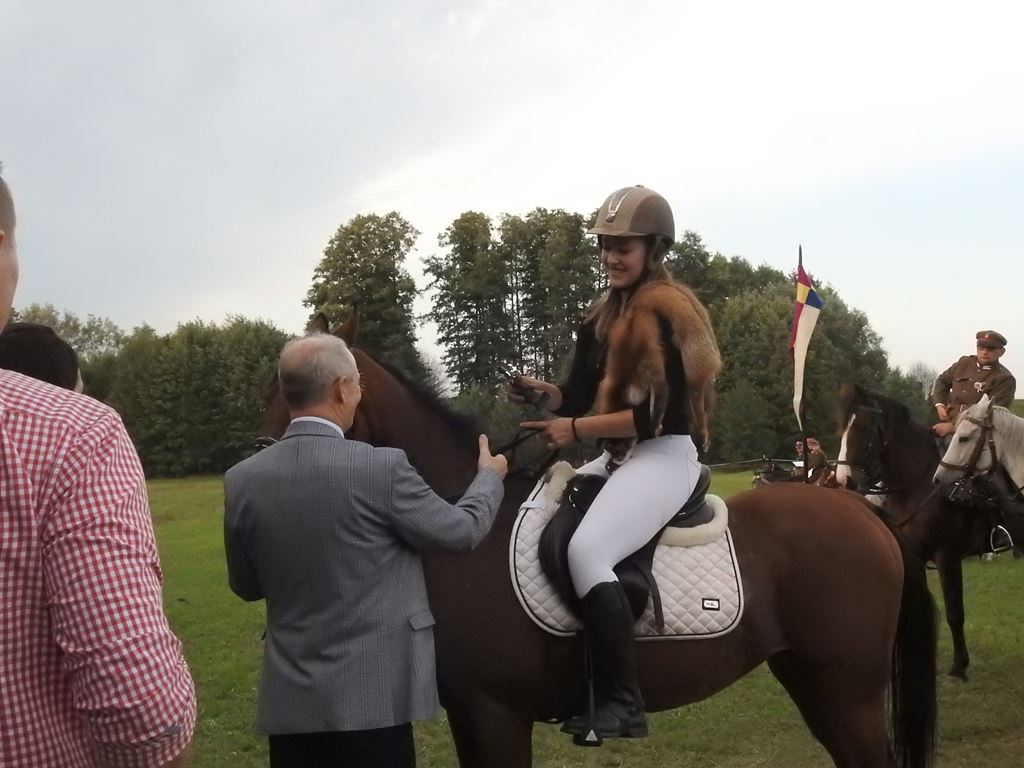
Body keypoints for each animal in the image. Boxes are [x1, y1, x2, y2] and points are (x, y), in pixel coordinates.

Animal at [263, 320, 938, 768]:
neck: (459, 527)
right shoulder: (467, 712)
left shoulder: (494, 711)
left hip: (846, 688)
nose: (264, 480)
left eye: (299, 403)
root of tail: (861, 510)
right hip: (810, 676)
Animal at [835, 384, 1006, 680]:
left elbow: (954, 612)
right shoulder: (914, 556)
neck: (918, 485)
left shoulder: (947, 557)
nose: (843, 479)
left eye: (863, 426)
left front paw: (959, 666)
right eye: (841, 426)